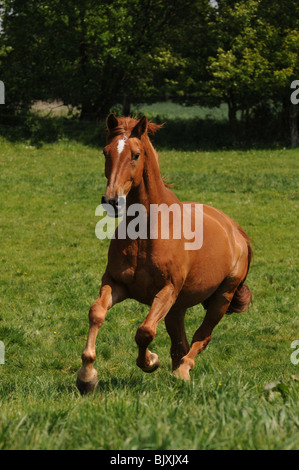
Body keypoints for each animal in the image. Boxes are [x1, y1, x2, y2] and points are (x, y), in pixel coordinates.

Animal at [76, 114, 252, 392]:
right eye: (105, 152)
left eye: (135, 155)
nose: (111, 201)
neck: (146, 230)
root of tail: (236, 232)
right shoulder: (115, 283)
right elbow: (96, 313)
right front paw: (86, 375)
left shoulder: (167, 290)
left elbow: (145, 331)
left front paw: (150, 361)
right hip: (177, 307)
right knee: (180, 343)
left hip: (221, 297)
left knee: (201, 337)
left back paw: (182, 371)